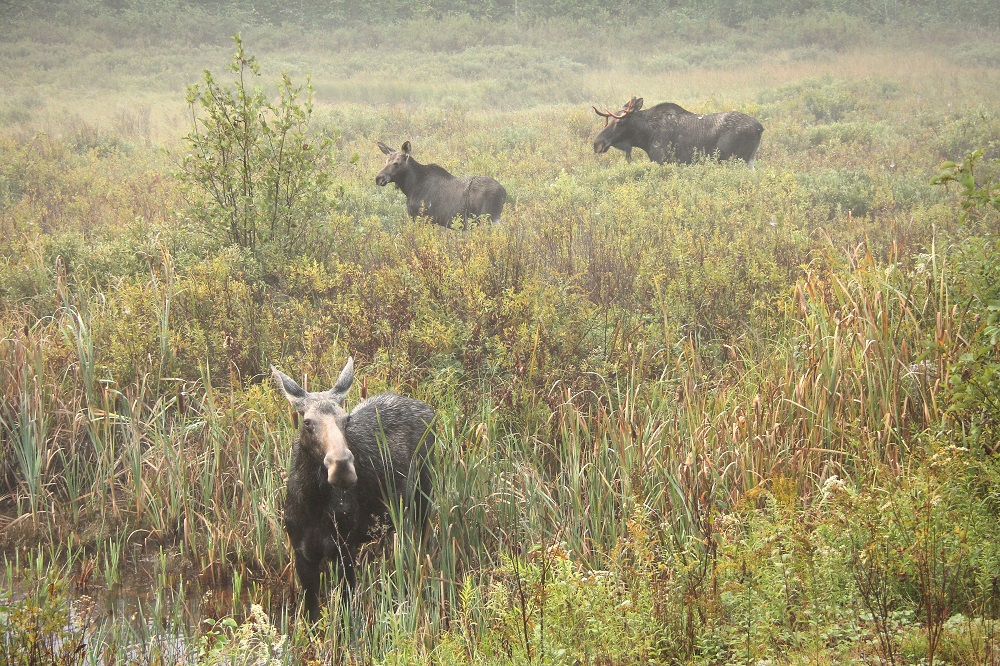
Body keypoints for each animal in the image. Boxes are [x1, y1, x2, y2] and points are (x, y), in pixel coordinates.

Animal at [274, 356, 434, 620]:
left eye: (346, 419)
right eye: (307, 422)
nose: (342, 469)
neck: (313, 503)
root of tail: (428, 409)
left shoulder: (345, 551)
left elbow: (346, 613)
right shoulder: (302, 555)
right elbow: (311, 614)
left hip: (423, 497)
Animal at [376, 140, 508, 228]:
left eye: (396, 163)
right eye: (386, 161)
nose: (378, 178)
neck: (411, 188)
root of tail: (504, 192)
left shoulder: (424, 218)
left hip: (489, 220)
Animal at [592, 96, 764, 167]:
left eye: (620, 121)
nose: (597, 144)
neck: (645, 136)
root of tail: (760, 128)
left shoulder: (662, 160)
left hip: (736, 160)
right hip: (749, 161)